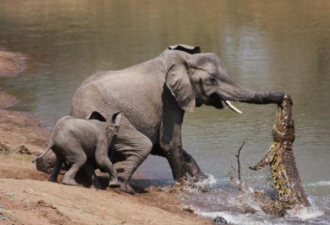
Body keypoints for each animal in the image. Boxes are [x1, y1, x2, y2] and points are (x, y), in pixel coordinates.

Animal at [71, 44, 284, 193]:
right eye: (212, 80)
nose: (284, 97)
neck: (184, 60)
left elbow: (161, 145)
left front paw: (202, 181)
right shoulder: (169, 98)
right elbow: (169, 143)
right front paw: (184, 187)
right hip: (107, 119)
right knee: (142, 145)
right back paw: (122, 188)